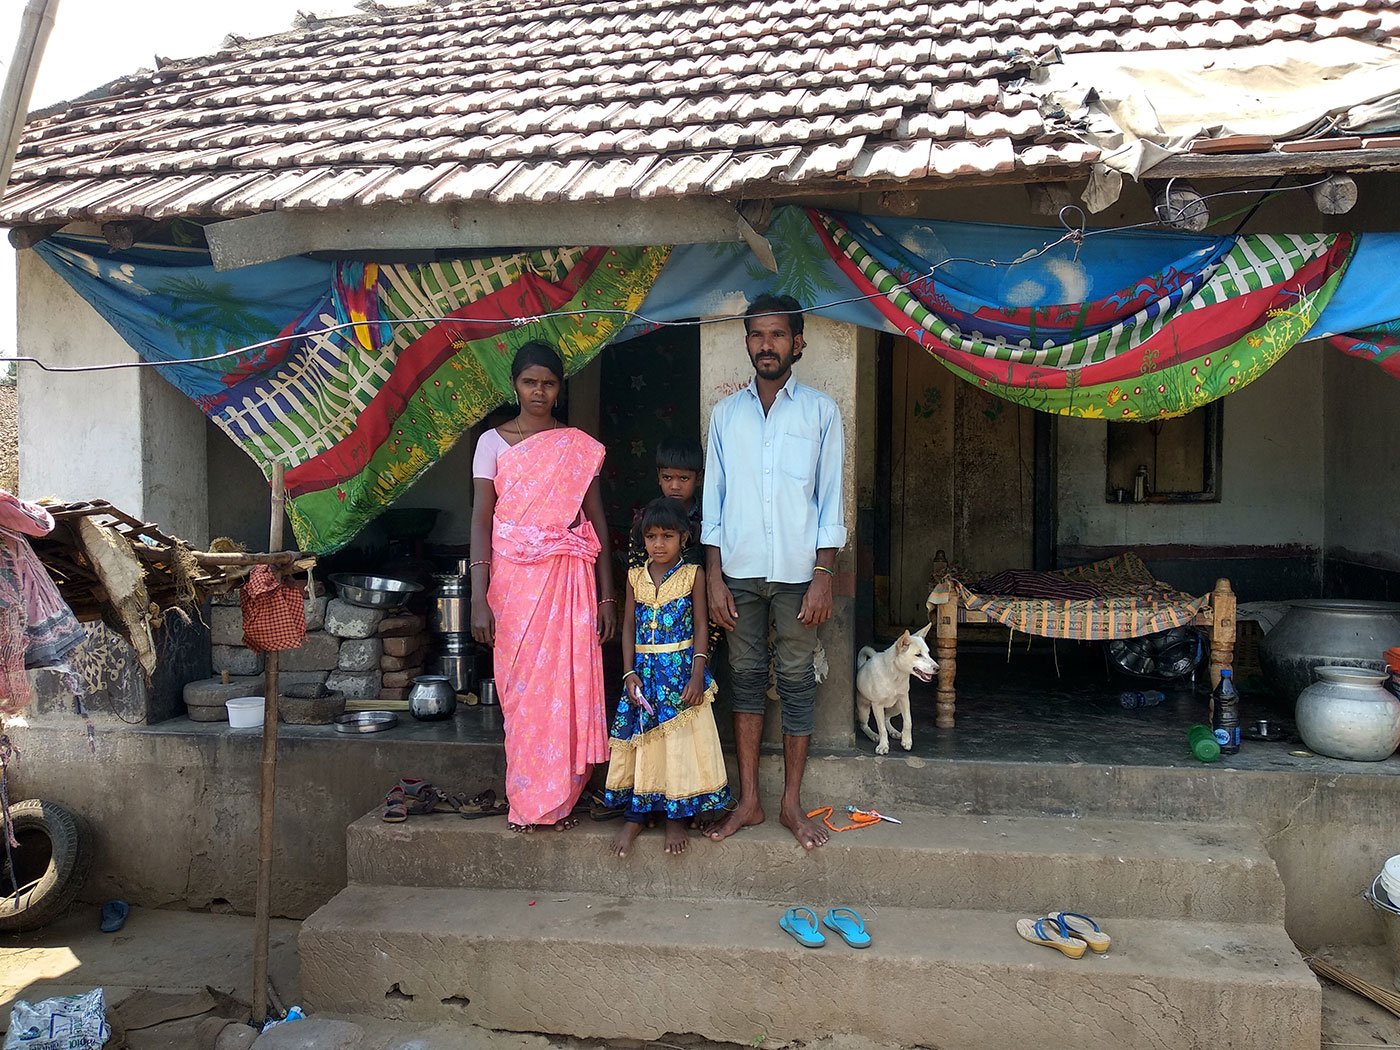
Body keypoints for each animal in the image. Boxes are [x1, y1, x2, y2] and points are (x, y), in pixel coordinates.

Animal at [856, 624, 935, 756]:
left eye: (928, 653)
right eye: (918, 655)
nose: (937, 668)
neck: (896, 675)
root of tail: (861, 666)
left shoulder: (904, 700)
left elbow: (908, 721)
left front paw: (907, 741)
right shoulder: (877, 705)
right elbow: (881, 729)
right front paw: (883, 746)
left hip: (896, 707)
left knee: (886, 718)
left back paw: (893, 731)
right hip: (864, 709)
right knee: (864, 725)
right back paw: (873, 735)